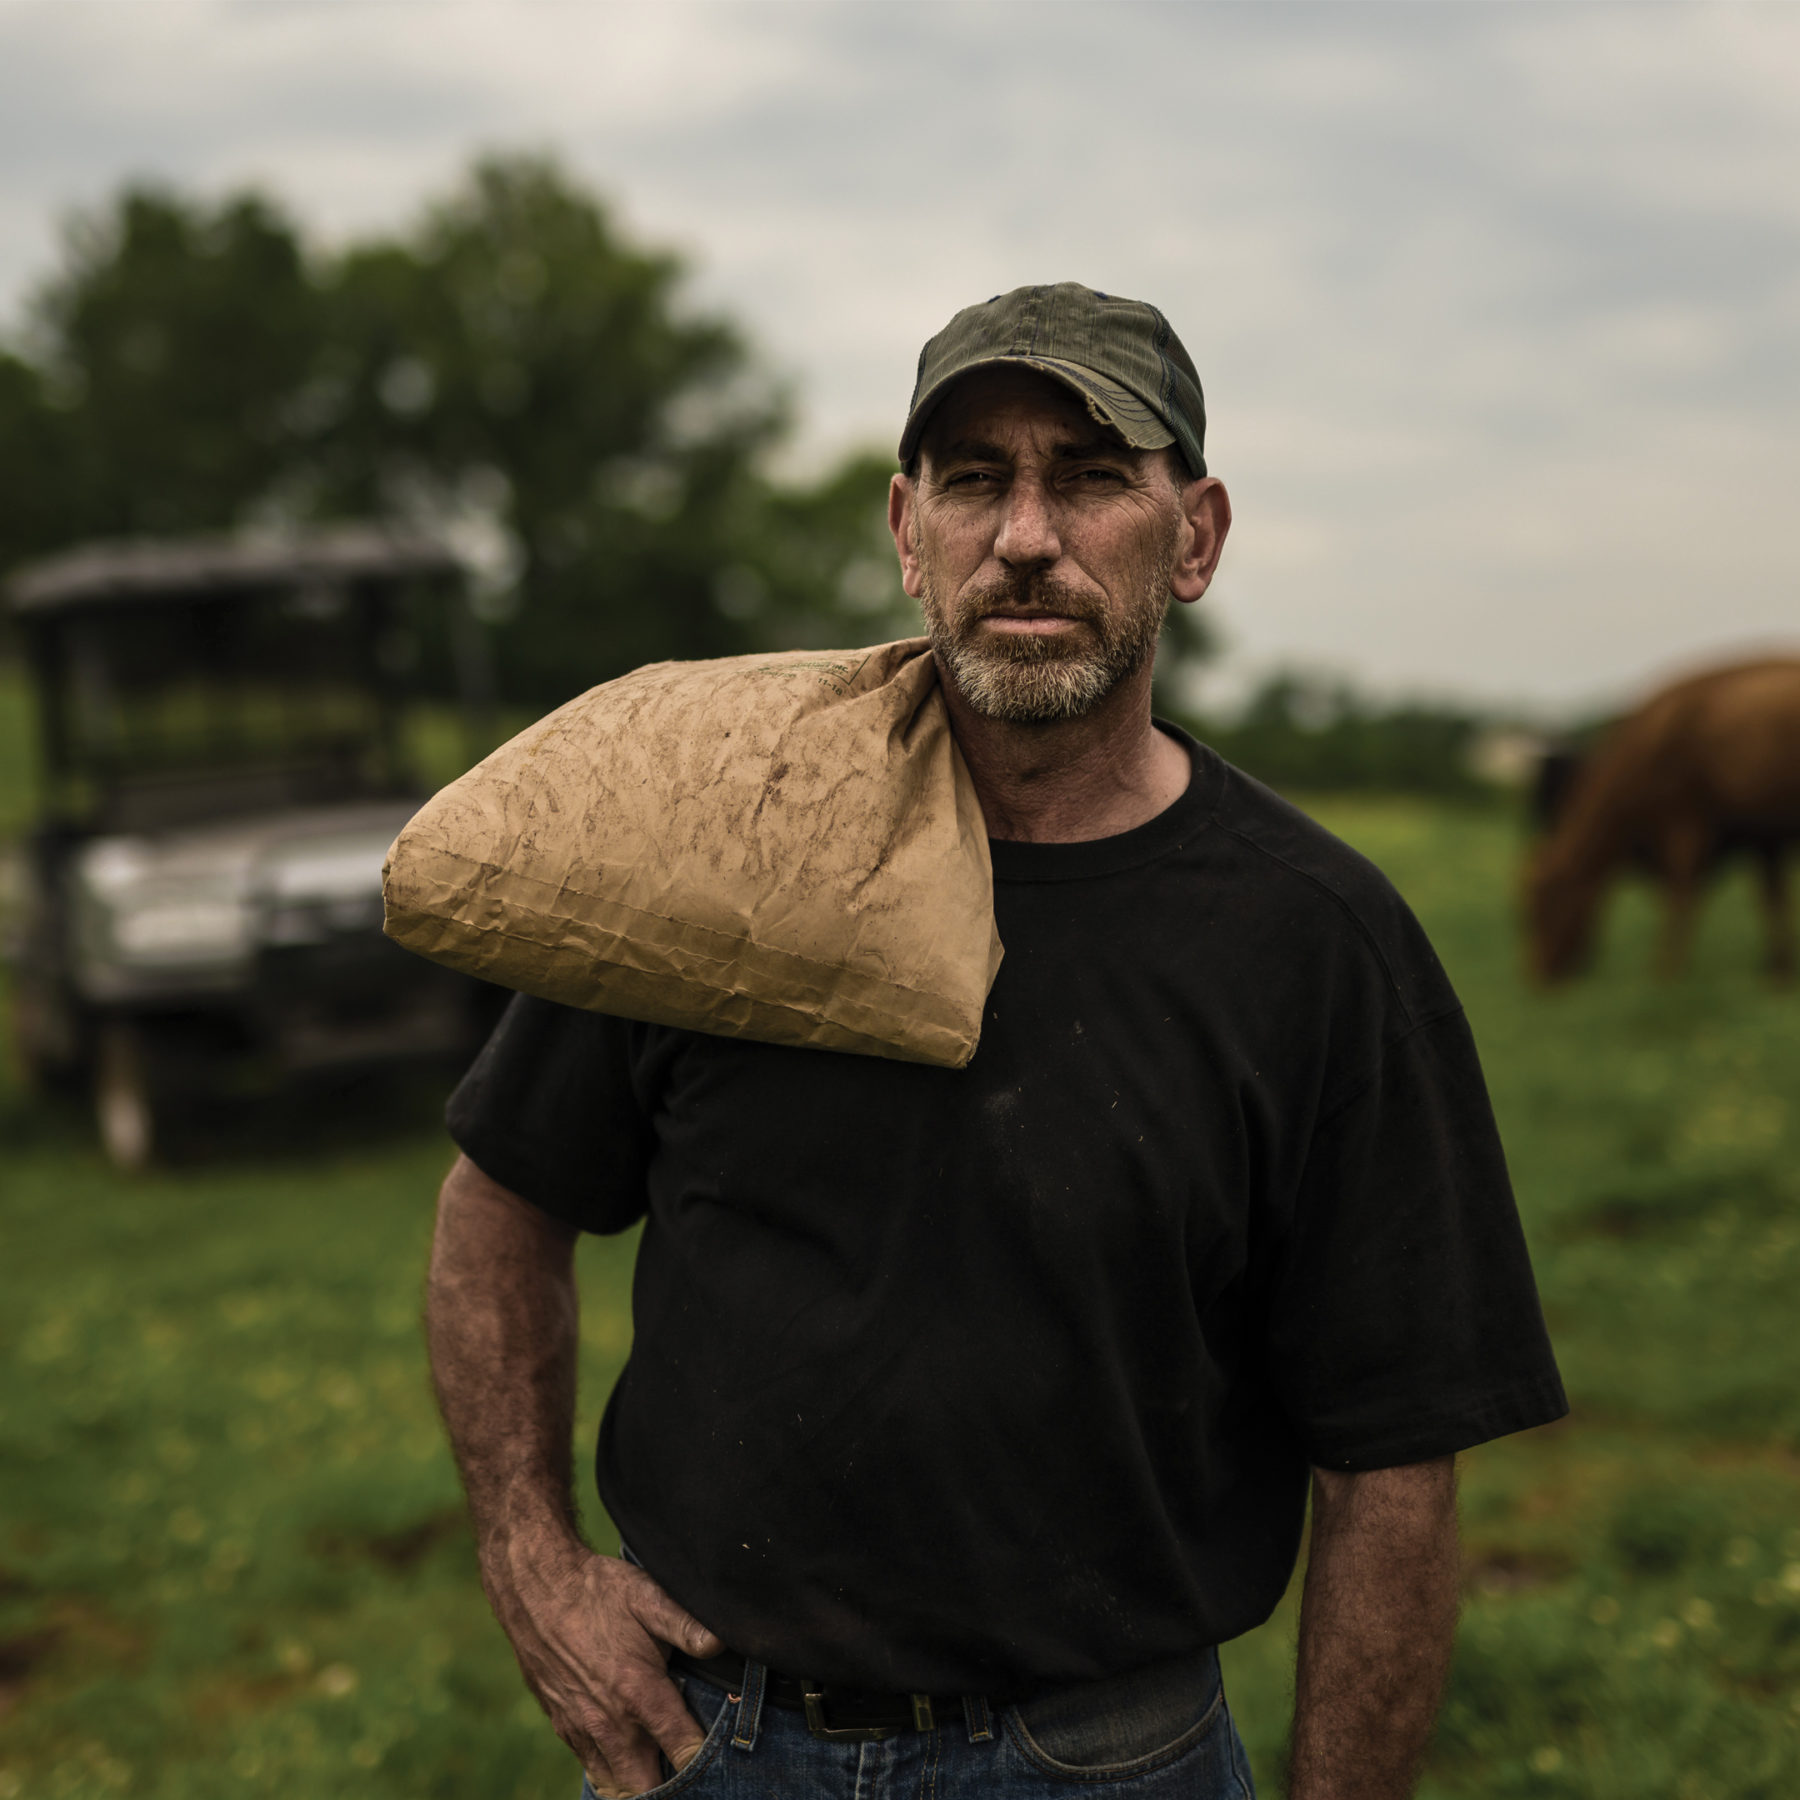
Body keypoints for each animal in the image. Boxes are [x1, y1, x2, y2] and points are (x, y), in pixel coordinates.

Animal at [1526, 658, 1800, 986]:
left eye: (1542, 904)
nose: (1536, 977)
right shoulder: (1761, 838)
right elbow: (1772, 899)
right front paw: (1778, 969)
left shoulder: (1689, 824)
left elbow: (1682, 895)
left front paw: (1667, 972)